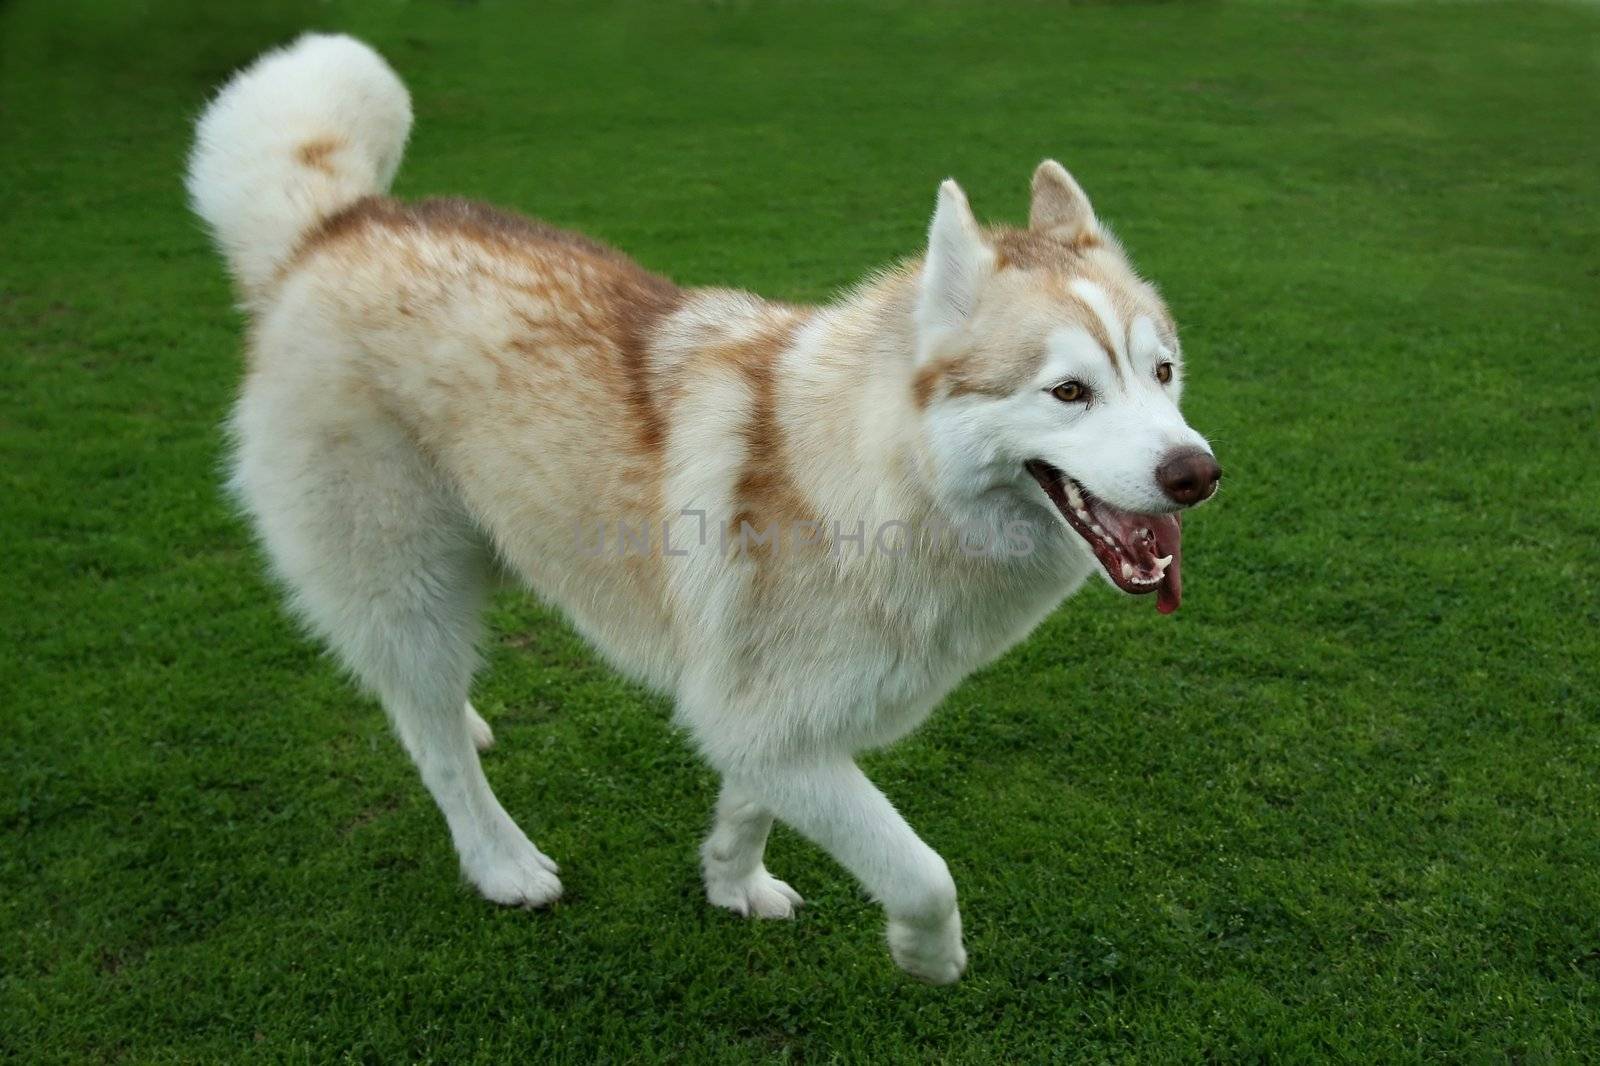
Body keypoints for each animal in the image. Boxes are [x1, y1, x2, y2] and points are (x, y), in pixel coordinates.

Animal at [190, 33, 1222, 979]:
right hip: (401, 575)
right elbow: (923, 873)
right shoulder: (778, 731)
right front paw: (927, 957)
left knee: (424, 704)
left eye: (1163, 373)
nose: (1196, 473)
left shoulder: (764, 719)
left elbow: (747, 806)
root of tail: (337, 225)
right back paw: (501, 861)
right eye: (1069, 392)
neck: (871, 482)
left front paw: (731, 881)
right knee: (433, 739)